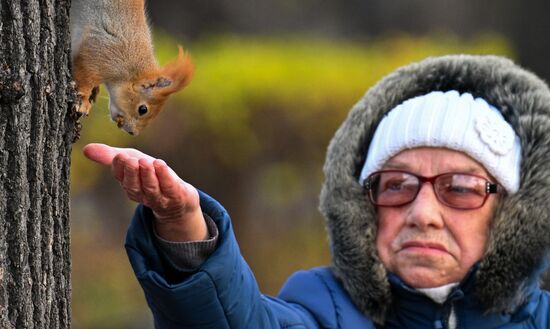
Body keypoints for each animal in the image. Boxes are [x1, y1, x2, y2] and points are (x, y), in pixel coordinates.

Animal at [70, 0, 194, 135]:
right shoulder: (101, 52)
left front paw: (95, 91)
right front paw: (84, 101)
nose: (133, 133)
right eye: (143, 109)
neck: (131, 69)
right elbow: (85, 77)